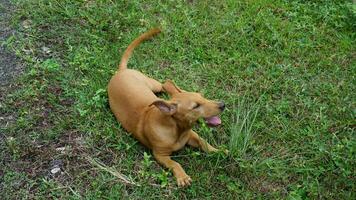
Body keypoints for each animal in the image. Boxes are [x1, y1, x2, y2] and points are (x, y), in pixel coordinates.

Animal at [108, 27, 225, 186]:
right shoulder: (160, 155)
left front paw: (219, 151)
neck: (177, 129)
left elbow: (203, 142)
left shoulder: (192, 135)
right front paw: (182, 177)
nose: (223, 105)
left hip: (154, 84)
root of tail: (121, 72)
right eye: (196, 106)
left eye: (202, 96)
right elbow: (175, 163)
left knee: (166, 85)